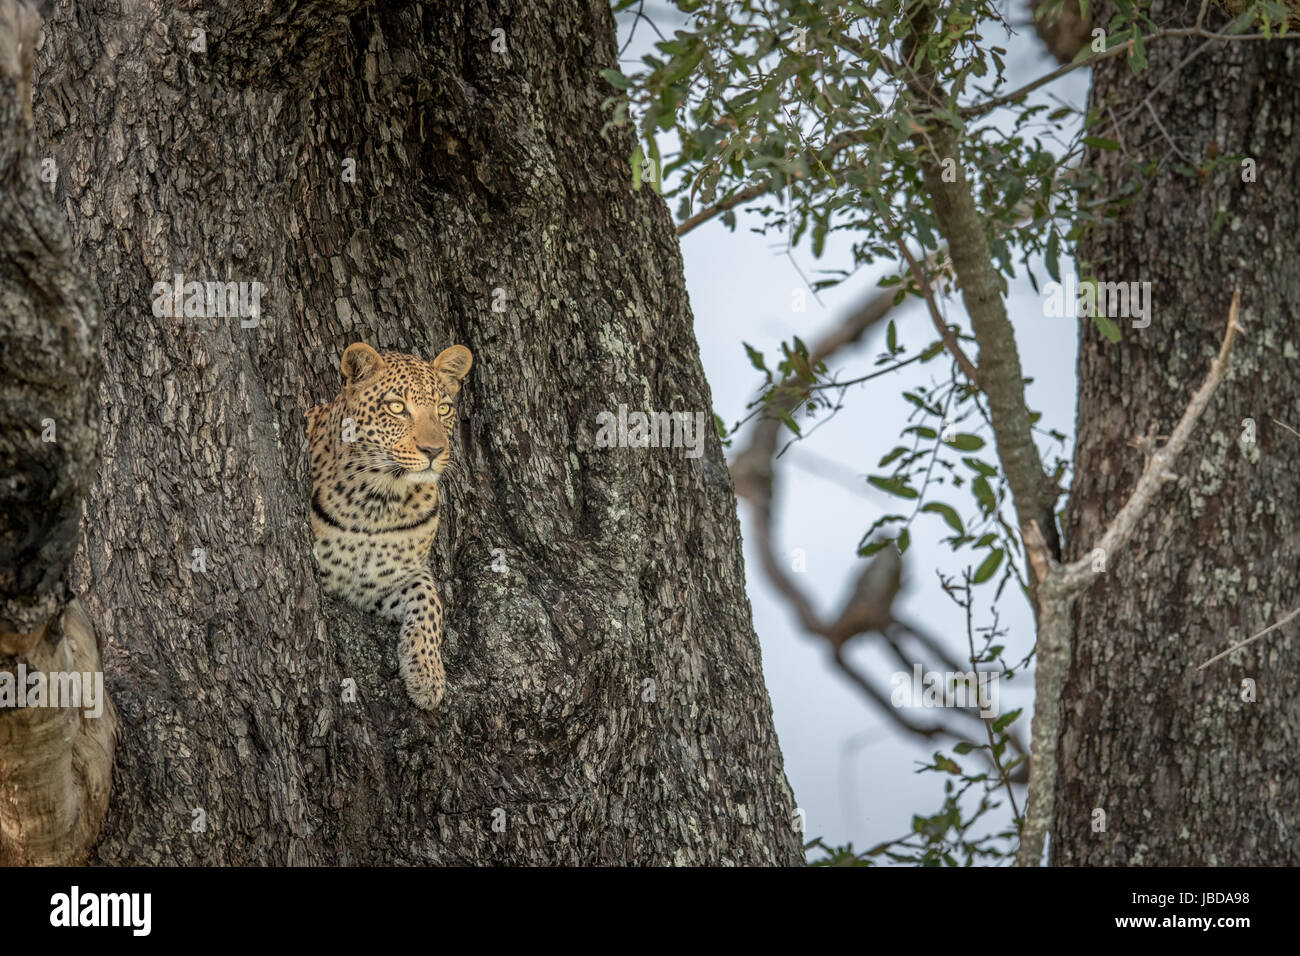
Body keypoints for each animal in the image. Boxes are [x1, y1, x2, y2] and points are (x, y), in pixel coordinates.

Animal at [305, 342, 473, 710]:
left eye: (443, 409)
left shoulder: (386, 580)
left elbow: (431, 601)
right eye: (397, 407)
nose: (434, 450)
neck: (378, 502)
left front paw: (427, 675)